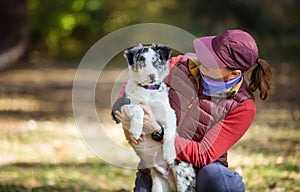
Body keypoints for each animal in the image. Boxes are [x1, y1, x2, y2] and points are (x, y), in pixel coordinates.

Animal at [111, 44, 196, 192]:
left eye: (156, 61)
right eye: (142, 60)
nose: (151, 76)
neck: (148, 89)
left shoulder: (169, 113)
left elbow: (169, 132)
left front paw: (169, 153)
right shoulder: (118, 108)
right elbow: (138, 108)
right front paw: (135, 130)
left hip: (184, 181)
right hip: (158, 185)